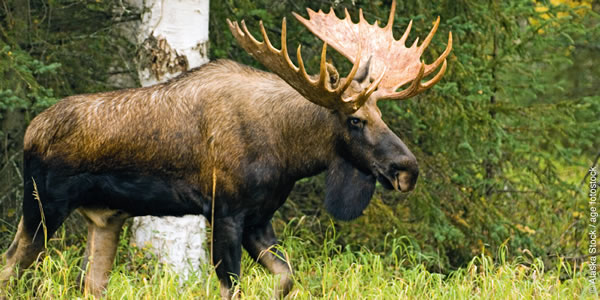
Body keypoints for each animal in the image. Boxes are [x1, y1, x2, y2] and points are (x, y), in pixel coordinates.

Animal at [0, 1, 450, 298]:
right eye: (355, 119)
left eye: (380, 112)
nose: (406, 169)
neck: (288, 153)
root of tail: (30, 131)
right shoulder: (225, 211)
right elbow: (231, 288)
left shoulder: (259, 219)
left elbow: (286, 279)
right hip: (43, 206)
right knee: (11, 266)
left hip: (105, 218)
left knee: (90, 283)